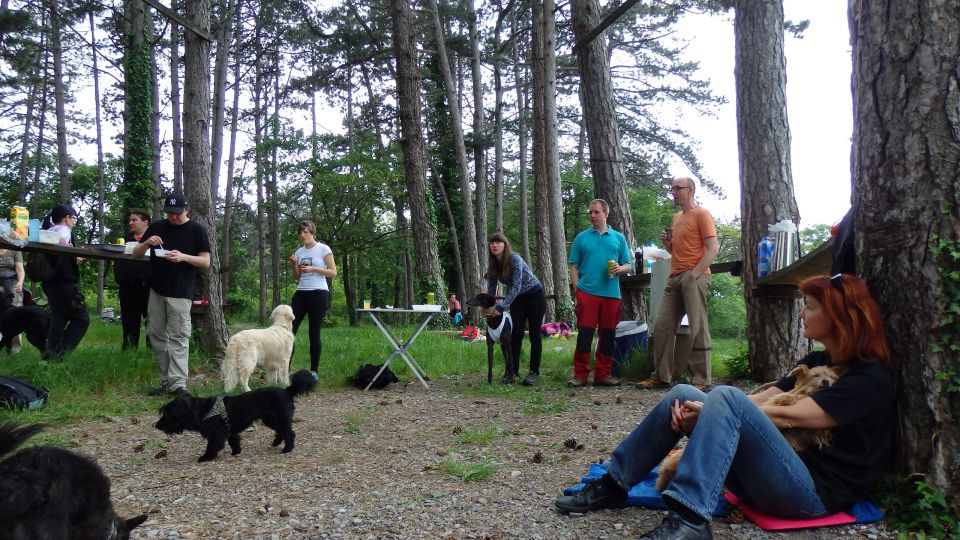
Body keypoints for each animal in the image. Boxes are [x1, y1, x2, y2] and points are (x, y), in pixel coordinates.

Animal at [156, 370, 316, 462]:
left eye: (167, 414)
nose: (156, 425)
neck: (202, 410)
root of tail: (287, 391)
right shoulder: (229, 431)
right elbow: (234, 441)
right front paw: (235, 452)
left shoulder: (216, 433)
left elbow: (212, 446)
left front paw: (205, 457)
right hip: (271, 419)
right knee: (282, 432)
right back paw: (276, 443)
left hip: (278, 418)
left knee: (289, 433)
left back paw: (287, 449)